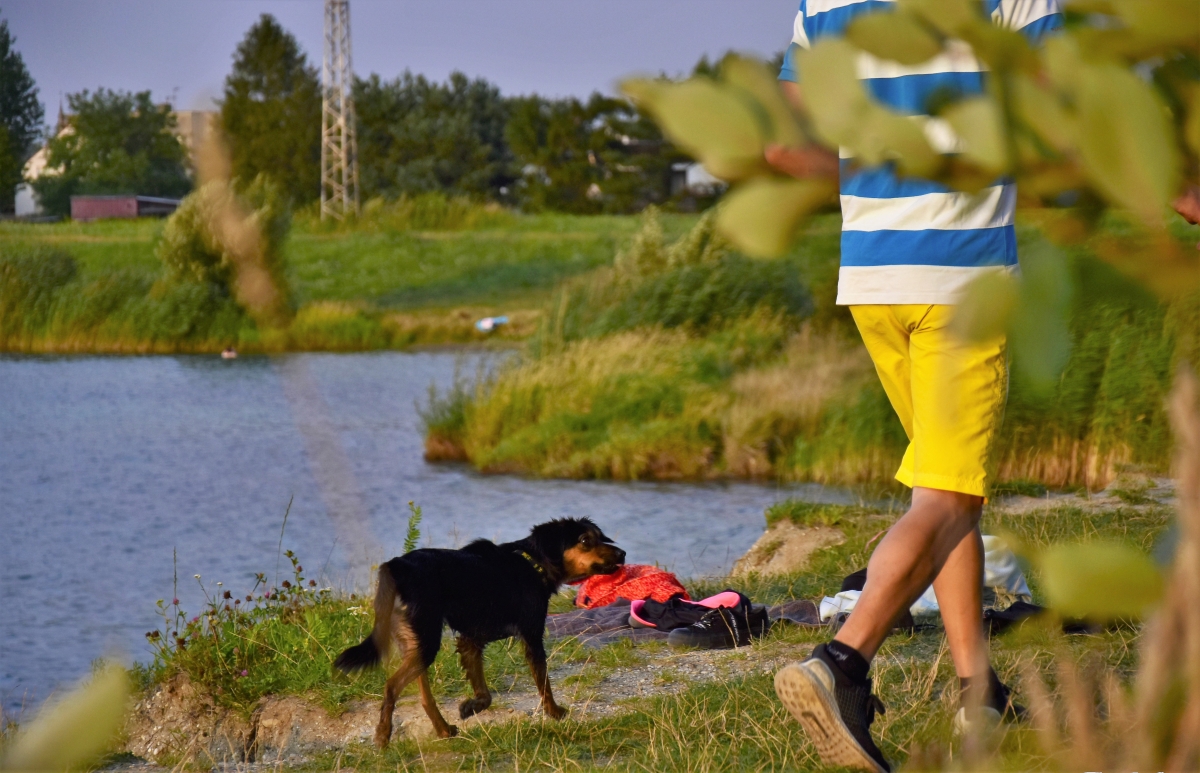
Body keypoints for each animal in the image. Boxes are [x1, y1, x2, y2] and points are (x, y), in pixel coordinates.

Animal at [333, 516, 624, 744]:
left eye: (600, 538)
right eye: (585, 541)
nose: (622, 554)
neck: (533, 563)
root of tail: (396, 567)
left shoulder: (471, 641)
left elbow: (485, 692)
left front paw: (471, 707)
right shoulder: (531, 636)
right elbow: (544, 682)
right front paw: (555, 712)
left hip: (416, 642)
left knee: (424, 696)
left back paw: (443, 730)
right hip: (426, 639)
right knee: (391, 686)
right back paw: (383, 736)